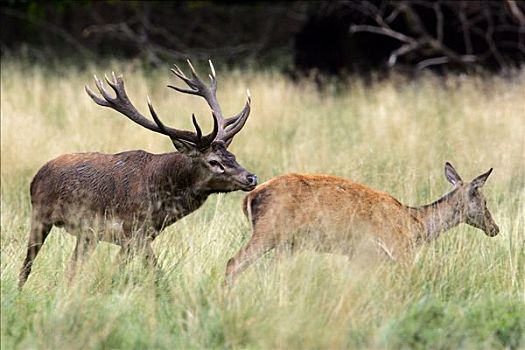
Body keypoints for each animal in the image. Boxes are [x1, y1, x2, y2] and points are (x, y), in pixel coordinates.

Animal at [19, 61, 256, 288]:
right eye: (214, 162)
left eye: (232, 155)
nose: (251, 177)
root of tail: (36, 176)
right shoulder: (133, 230)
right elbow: (155, 272)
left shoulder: (141, 236)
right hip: (40, 215)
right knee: (27, 265)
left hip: (87, 235)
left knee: (70, 270)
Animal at [223, 163, 498, 284]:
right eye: (483, 200)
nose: (495, 228)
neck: (415, 225)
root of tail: (249, 198)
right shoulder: (398, 250)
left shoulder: (359, 255)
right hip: (268, 231)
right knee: (233, 262)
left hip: (286, 243)